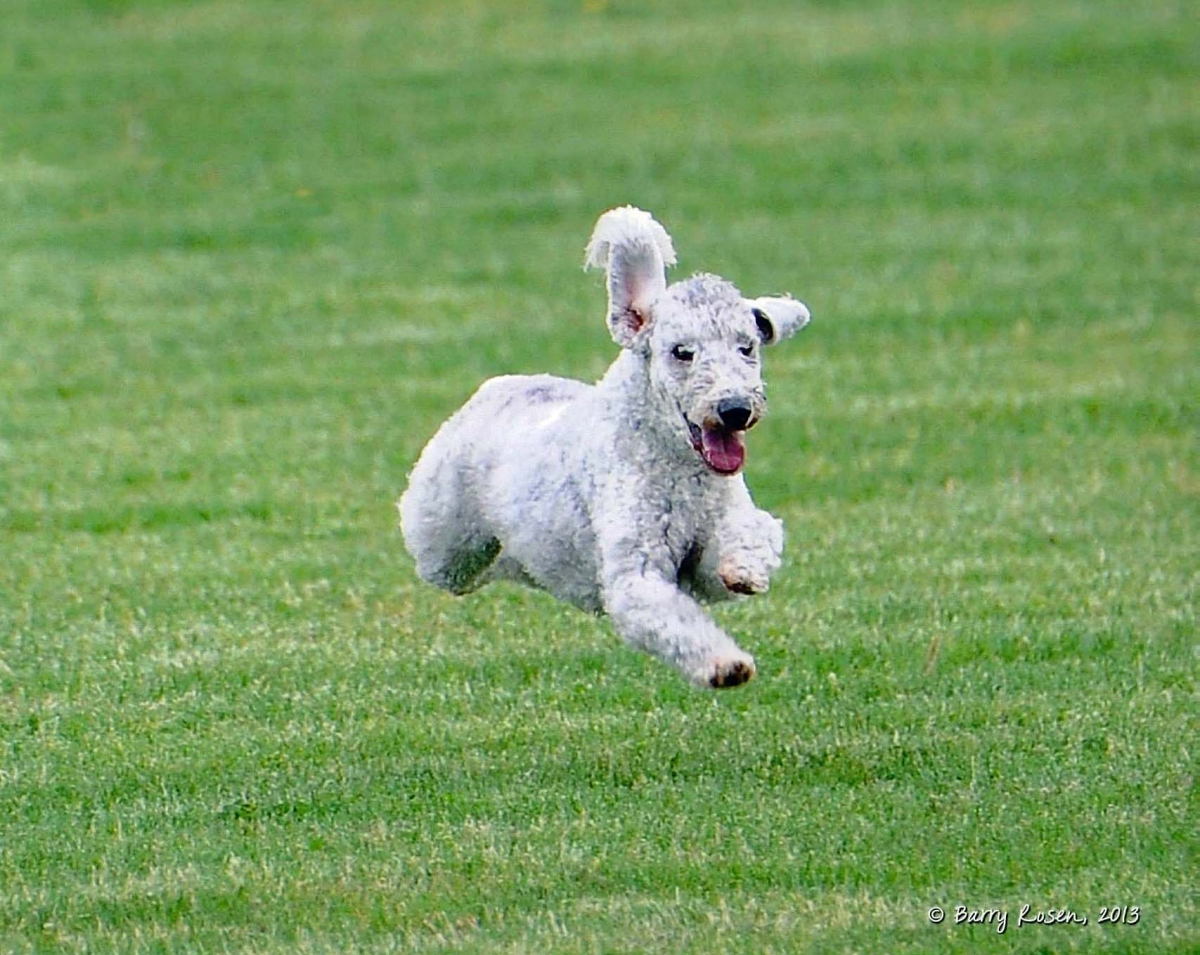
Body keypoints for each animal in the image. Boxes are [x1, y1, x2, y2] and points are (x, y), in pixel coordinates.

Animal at [398, 208, 811, 686]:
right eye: (681, 352)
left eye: (747, 347)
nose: (735, 409)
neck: (676, 466)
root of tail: (493, 389)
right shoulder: (637, 575)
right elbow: (668, 617)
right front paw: (725, 665)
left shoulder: (707, 552)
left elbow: (748, 539)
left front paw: (744, 569)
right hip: (443, 543)